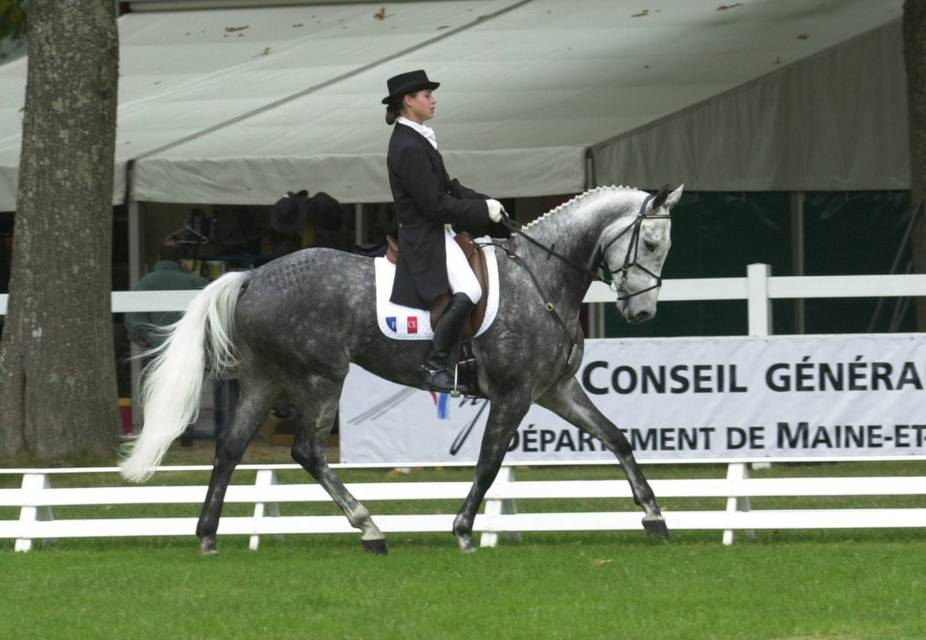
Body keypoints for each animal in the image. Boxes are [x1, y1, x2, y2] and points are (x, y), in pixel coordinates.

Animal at [121, 182, 680, 552]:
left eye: (666, 247)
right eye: (651, 244)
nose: (642, 314)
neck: (542, 276)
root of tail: (253, 276)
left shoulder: (555, 389)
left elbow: (616, 438)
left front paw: (654, 516)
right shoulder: (515, 393)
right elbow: (489, 461)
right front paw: (463, 530)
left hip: (266, 380)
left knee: (230, 449)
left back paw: (208, 535)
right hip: (320, 378)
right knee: (307, 451)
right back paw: (369, 527)